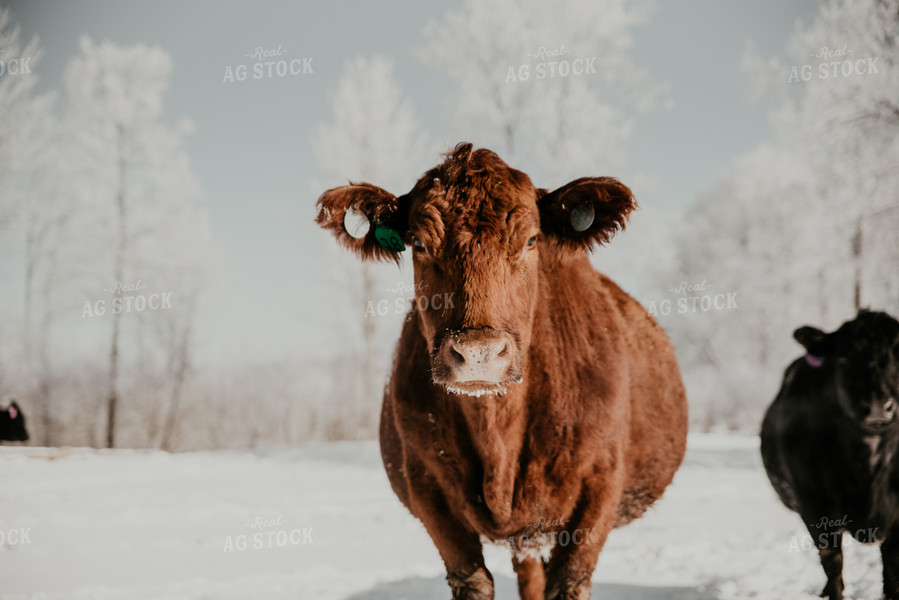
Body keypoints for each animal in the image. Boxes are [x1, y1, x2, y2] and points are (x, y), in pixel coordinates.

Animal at [316, 144, 688, 600]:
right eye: (418, 242)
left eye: (531, 240)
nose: (479, 352)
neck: (500, 441)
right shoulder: (429, 491)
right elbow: (474, 580)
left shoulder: (599, 488)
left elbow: (568, 580)